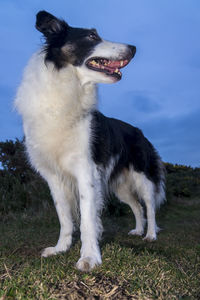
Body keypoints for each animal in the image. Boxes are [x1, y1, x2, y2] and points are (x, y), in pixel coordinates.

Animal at [14, 10, 166, 270]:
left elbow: (87, 219)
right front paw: (60, 248)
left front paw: (89, 257)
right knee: (137, 207)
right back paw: (138, 230)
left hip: (142, 177)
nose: (133, 48)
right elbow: (64, 216)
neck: (66, 89)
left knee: (149, 205)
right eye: (92, 36)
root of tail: (139, 131)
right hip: (120, 186)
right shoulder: (54, 176)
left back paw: (150, 235)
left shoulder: (86, 171)